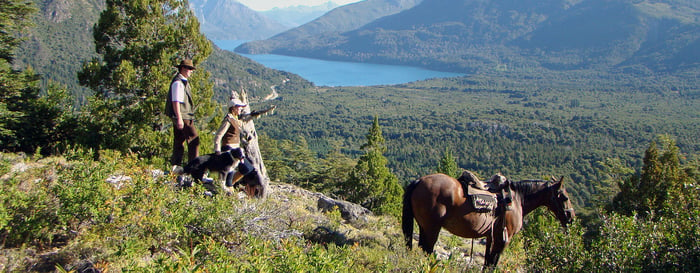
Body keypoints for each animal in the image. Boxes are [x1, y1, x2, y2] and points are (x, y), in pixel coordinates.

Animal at [404, 172, 576, 268]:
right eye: (564, 197)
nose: (571, 217)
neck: (517, 200)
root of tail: (419, 181)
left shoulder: (490, 236)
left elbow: (487, 262)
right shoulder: (503, 239)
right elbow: (493, 263)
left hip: (424, 226)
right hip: (432, 228)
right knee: (427, 250)